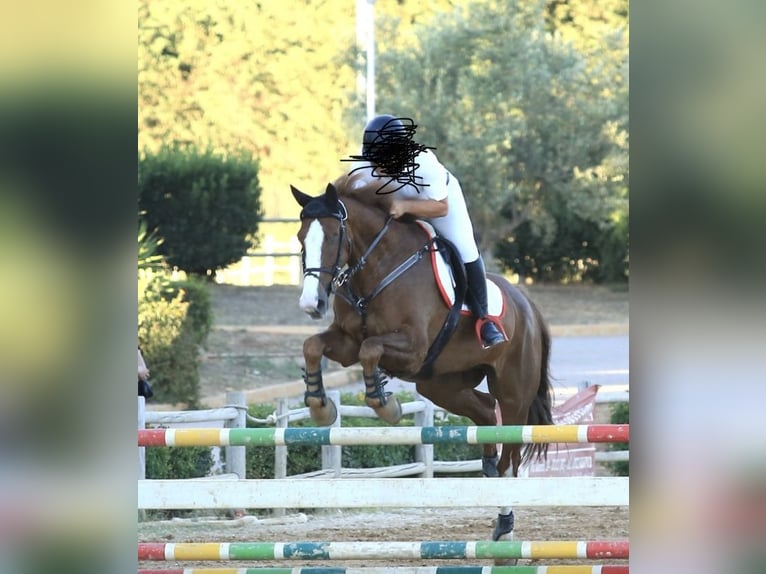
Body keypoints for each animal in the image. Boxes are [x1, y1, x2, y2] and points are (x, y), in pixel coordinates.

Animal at [292, 173, 552, 548]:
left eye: (331, 237)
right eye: (301, 238)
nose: (312, 304)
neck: (378, 267)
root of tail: (529, 306)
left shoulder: (412, 348)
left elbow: (371, 349)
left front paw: (385, 405)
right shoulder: (346, 343)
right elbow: (314, 346)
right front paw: (319, 405)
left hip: (513, 394)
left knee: (510, 460)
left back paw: (505, 528)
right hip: (441, 385)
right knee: (486, 412)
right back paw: (488, 466)